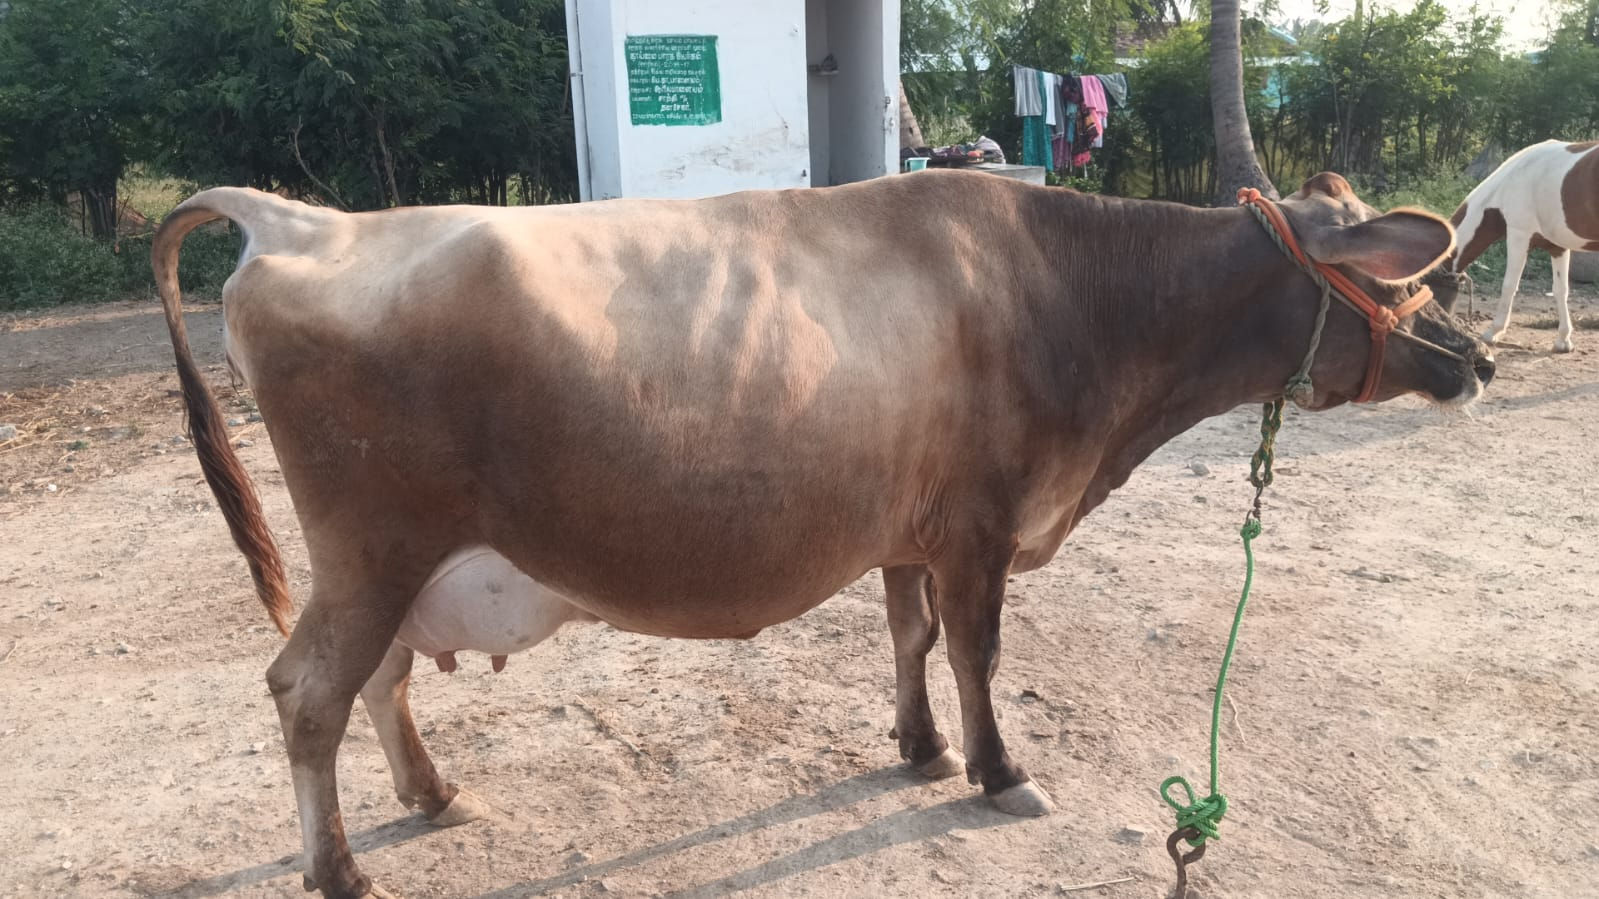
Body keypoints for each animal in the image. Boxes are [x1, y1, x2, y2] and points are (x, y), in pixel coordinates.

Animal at [152, 170, 1493, 898]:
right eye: (1415, 281)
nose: (1477, 359)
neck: (1080, 302)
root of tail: (295, 219)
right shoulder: (982, 524)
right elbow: (976, 653)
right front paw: (998, 769)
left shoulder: (911, 524)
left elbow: (909, 641)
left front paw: (919, 749)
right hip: (372, 545)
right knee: (307, 690)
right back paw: (342, 865)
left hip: (387, 559)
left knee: (372, 680)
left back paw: (431, 793)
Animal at [1429, 139, 1599, 352]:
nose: (1439, 317)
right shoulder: (1557, 247)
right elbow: (1561, 290)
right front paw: (1563, 340)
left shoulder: (1519, 236)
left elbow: (1509, 285)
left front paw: (1493, 332)